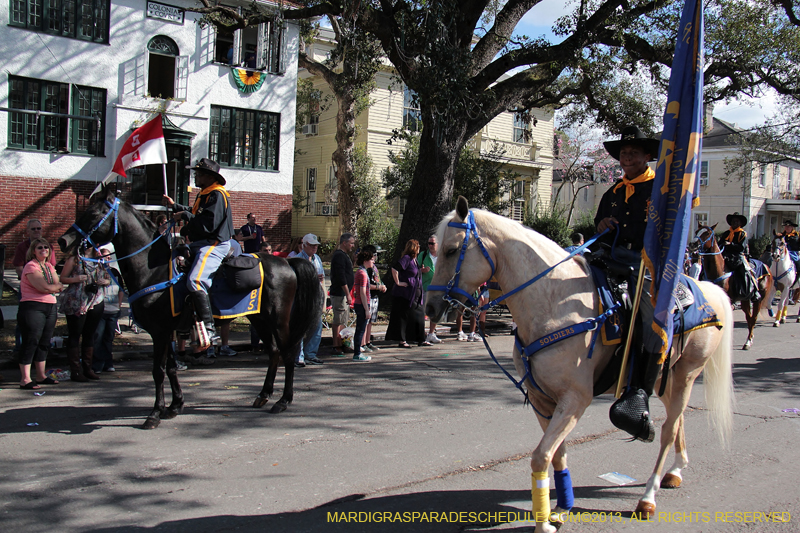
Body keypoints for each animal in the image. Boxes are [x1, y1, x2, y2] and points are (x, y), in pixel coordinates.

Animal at [57, 187, 324, 428]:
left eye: (95, 213)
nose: (63, 240)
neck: (154, 270)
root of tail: (286, 262)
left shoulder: (160, 332)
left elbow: (158, 370)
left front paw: (155, 413)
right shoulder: (167, 331)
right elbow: (171, 367)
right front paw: (175, 406)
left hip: (278, 319)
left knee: (287, 353)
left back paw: (283, 401)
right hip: (258, 319)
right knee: (274, 352)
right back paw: (263, 395)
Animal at [428, 196, 736, 532]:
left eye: (451, 250)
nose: (430, 307)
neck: (554, 302)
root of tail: (708, 289)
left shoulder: (576, 399)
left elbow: (541, 456)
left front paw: (543, 523)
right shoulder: (542, 400)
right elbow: (557, 454)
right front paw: (560, 508)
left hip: (687, 374)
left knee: (667, 430)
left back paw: (648, 498)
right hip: (664, 380)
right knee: (676, 421)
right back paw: (676, 471)